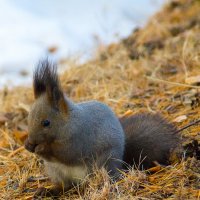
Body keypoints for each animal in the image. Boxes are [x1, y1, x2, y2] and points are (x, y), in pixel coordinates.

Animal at [24, 59, 181, 197]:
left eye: (46, 123)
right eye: (28, 118)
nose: (32, 141)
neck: (68, 122)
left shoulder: (80, 138)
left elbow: (66, 152)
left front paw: (41, 147)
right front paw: (28, 145)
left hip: (102, 165)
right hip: (56, 171)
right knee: (65, 186)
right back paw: (47, 191)